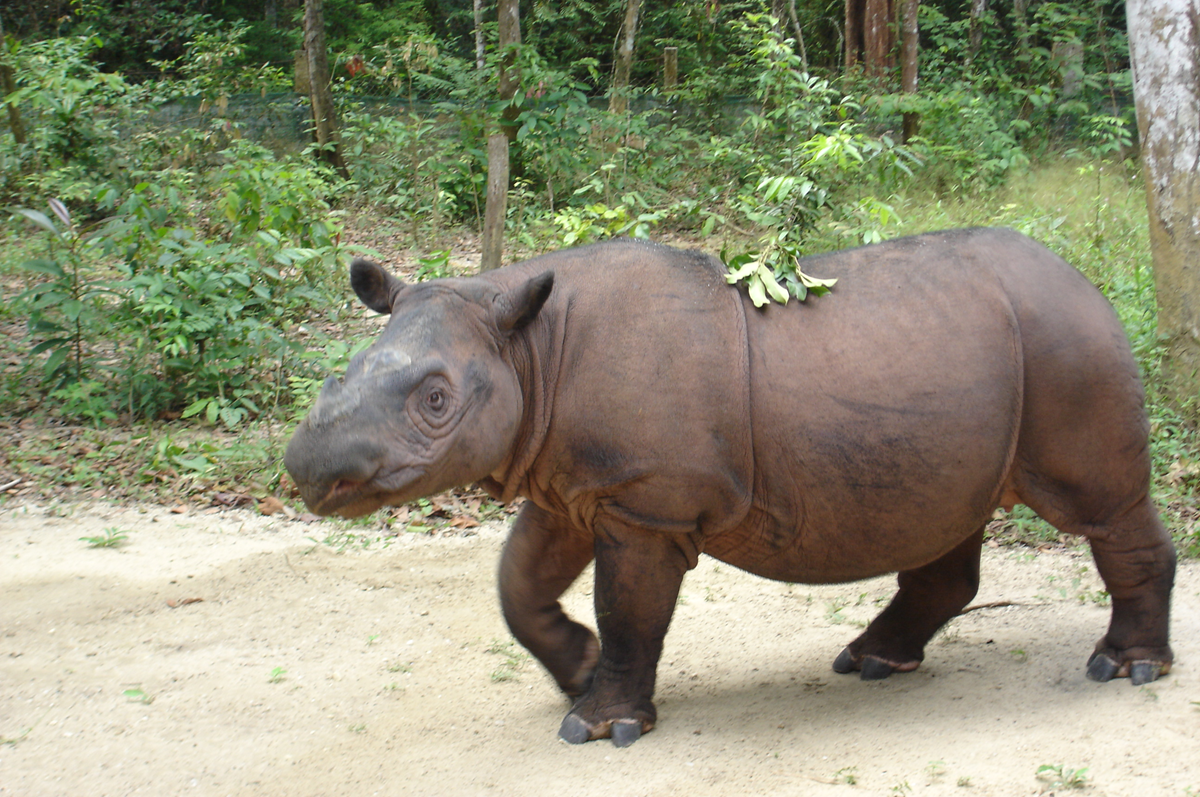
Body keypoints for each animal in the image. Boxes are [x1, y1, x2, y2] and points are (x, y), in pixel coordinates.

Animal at [284, 229, 1175, 747]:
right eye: (340, 374)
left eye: (436, 400)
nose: (307, 468)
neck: (526, 346)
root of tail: (1084, 277)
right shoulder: (573, 482)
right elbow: (519, 584)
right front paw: (578, 669)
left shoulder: (645, 502)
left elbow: (629, 607)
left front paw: (599, 727)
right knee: (947, 518)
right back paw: (872, 662)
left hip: (1068, 341)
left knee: (1101, 507)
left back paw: (1125, 670)